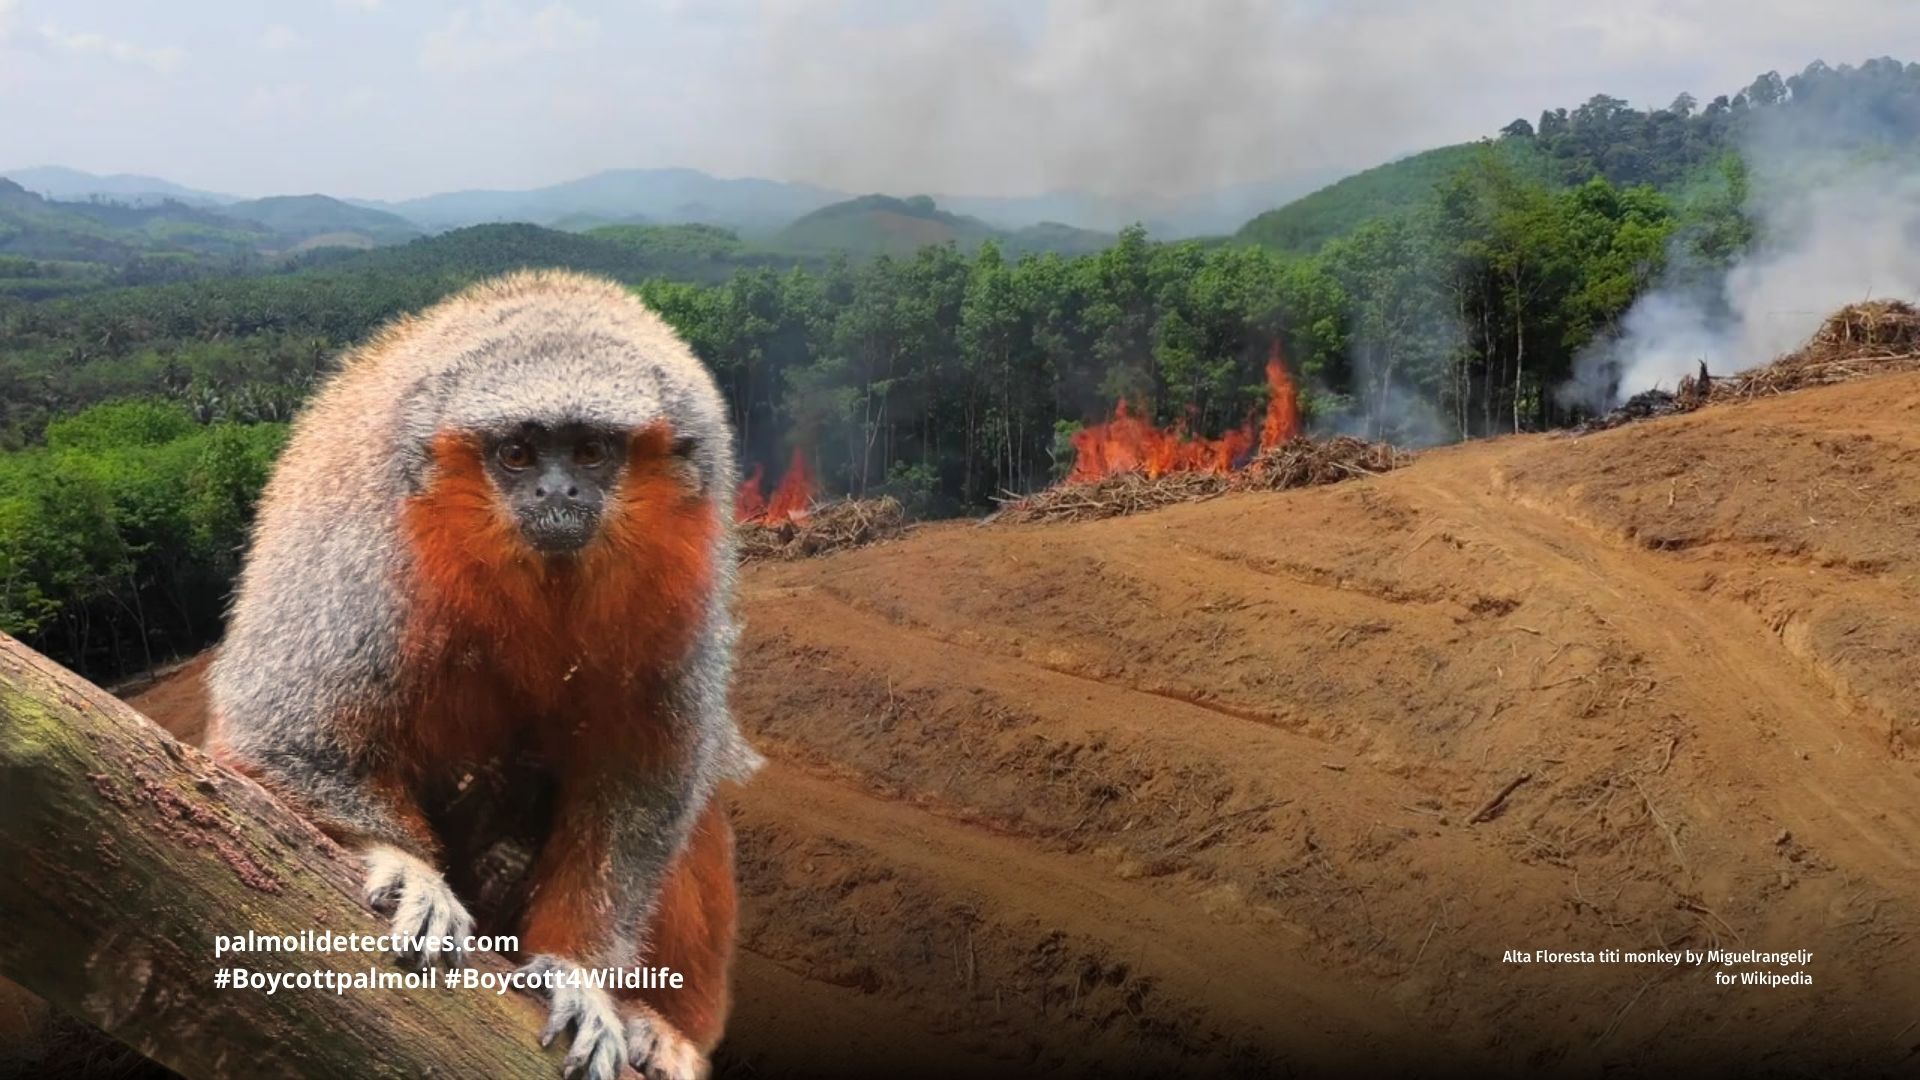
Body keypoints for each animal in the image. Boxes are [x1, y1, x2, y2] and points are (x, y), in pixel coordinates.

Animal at [204, 270, 762, 1080]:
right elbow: (277, 732)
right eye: (520, 455)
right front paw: (403, 865)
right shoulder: (371, 545)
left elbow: (646, 780)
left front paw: (579, 974)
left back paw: (660, 1025)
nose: (557, 494)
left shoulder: (690, 561)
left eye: (590, 452)